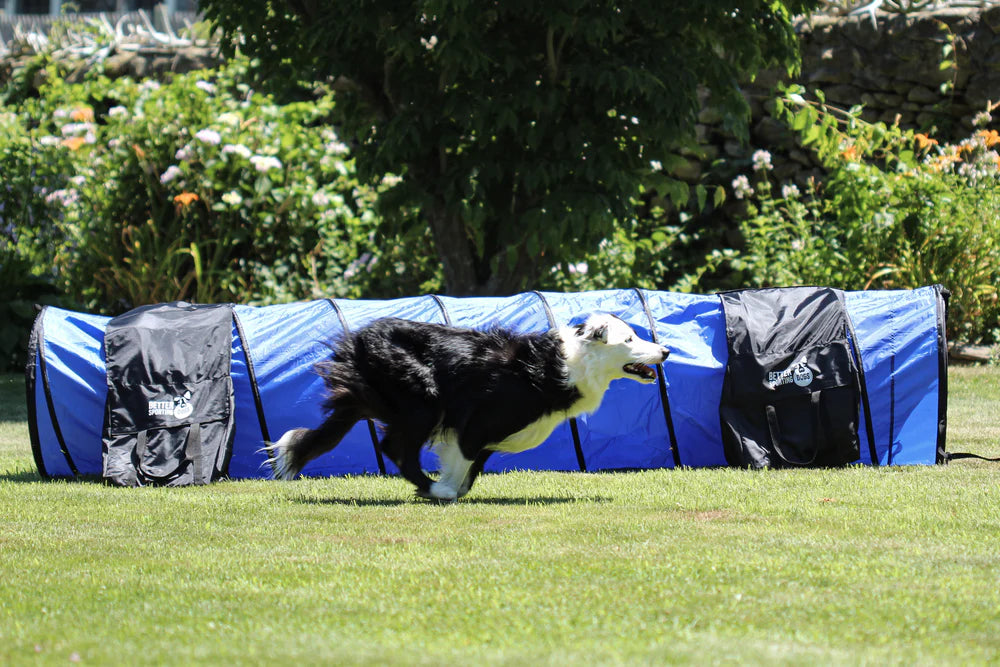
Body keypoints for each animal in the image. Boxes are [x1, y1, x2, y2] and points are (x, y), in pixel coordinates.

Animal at [270, 314, 668, 500]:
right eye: (629, 339)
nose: (665, 351)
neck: (568, 363)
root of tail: (360, 339)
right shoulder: (476, 421)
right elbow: (463, 457)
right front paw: (444, 489)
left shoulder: (488, 434)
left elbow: (473, 466)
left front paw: (452, 488)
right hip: (423, 401)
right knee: (395, 447)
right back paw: (431, 488)